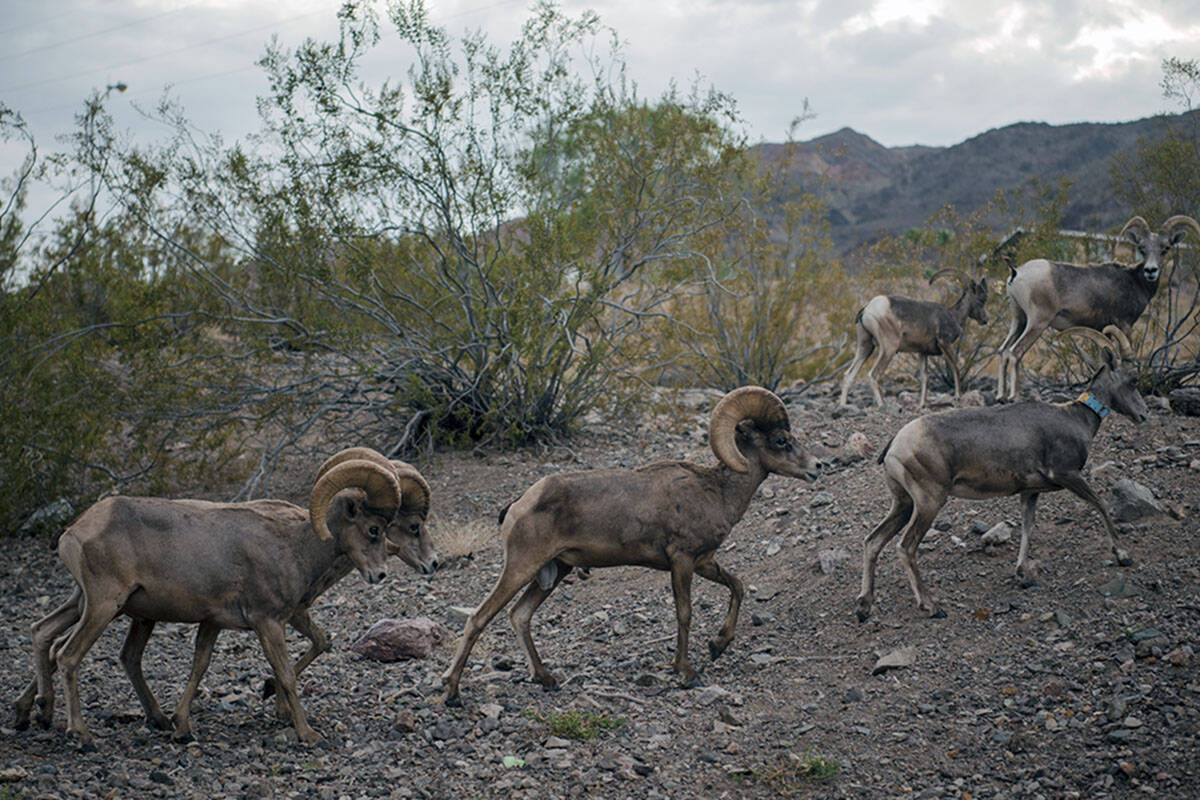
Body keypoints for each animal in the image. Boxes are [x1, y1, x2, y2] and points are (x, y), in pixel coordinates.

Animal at [11, 452, 407, 746]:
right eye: (373, 530)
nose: (380, 575)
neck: (294, 546)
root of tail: (74, 531)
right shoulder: (268, 623)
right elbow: (285, 674)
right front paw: (307, 735)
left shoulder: (213, 622)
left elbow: (199, 667)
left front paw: (181, 727)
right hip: (104, 606)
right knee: (67, 655)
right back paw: (81, 734)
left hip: (89, 603)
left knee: (44, 633)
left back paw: (38, 712)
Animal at [441, 386, 820, 706]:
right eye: (782, 440)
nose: (818, 466)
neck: (716, 491)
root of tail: (518, 505)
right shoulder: (682, 561)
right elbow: (685, 613)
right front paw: (687, 673)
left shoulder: (704, 562)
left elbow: (738, 586)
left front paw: (717, 645)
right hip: (521, 568)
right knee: (479, 618)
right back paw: (453, 693)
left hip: (554, 572)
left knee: (519, 616)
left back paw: (546, 679)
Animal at [838, 272, 989, 409]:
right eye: (981, 300)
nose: (985, 320)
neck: (953, 316)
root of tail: (867, 309)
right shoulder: (945, 344)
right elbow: (955, 368)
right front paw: (958, 397)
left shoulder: (922, 353)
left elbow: (925, 378)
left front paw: (922, 405)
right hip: (889, 349)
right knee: (873, 375)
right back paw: (882, 405)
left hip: (866, 347)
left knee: (848, 375)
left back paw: (843, 405)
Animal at [855, 326, 1148, 622]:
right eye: (1133, 379)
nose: (1143, 415)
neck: (1076, 419)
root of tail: (895, 444)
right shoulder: (1068, 475)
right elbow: (1100, 503)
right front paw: (1123, 555)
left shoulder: (1030, 492)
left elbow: (1028, 527)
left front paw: (1022, 575)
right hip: (929, 502)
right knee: (905, 547)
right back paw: (931, 606)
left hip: (904, 503)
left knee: (873, 541)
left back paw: (864, 607)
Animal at [996, 215, 1200, 401]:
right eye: (1142, 249)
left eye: (1165, 249)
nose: (1151, 270)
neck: (1134, 282)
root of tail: (1016, 272)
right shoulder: (1124, 325)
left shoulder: (1102, 329)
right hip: (1037, 323)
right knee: (1015, 352)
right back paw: (1014, 397)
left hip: (1019, 320)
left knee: (1003, 351)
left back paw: (1000, 396)